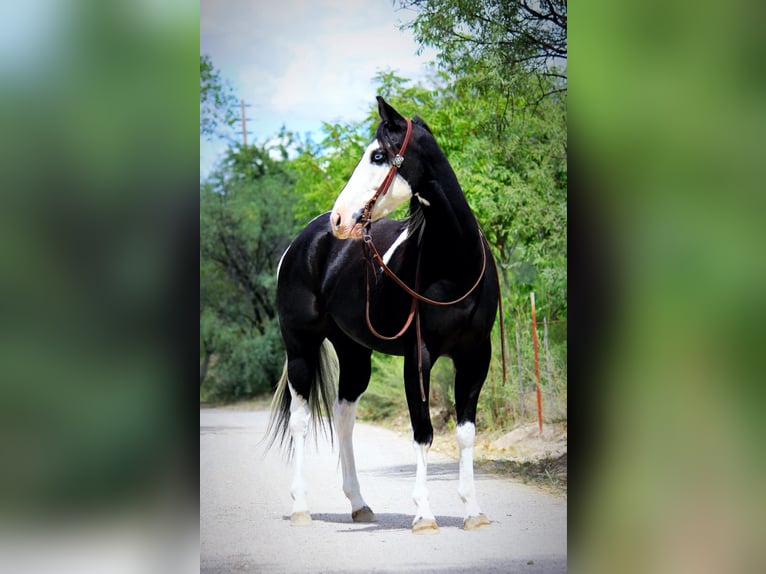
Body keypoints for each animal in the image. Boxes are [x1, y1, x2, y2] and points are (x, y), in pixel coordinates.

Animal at [266, 96, 499, 533]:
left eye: (378, 156)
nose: (341, 219)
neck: (455, 265)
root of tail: (304, 241)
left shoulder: (476, 356)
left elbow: (465, 433)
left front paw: (473, 511)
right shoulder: (419, 357)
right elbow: (423, 431)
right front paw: (424, 514)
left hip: (354, 352)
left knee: (344, 415)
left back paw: (359, 504)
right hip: (300, 347)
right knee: (301, 419)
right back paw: (301, 506)